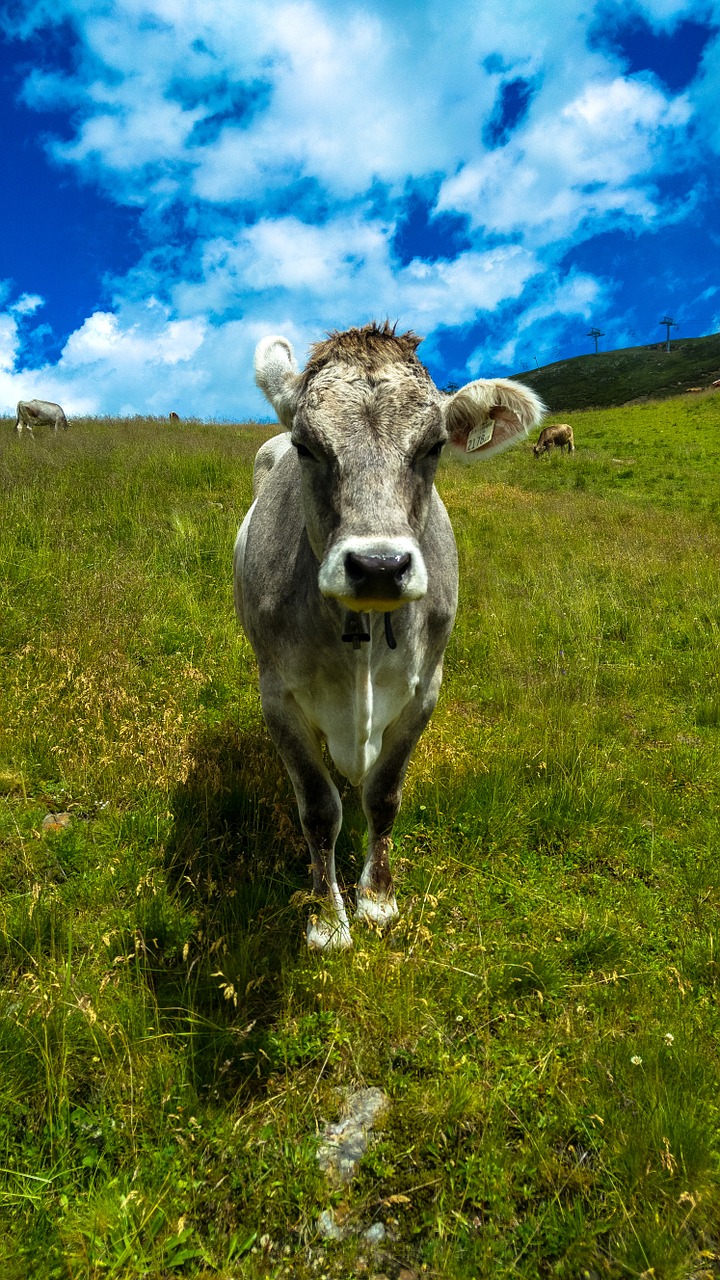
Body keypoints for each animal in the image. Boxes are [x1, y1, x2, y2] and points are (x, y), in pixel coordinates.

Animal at [233, 322, 540, 952]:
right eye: (307, 446)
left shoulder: (426, 690)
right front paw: (328, 918)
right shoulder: (277, 697)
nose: (378, 565)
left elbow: (384, 794)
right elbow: (318, 809)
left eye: (434, 447)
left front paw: (376, 898)